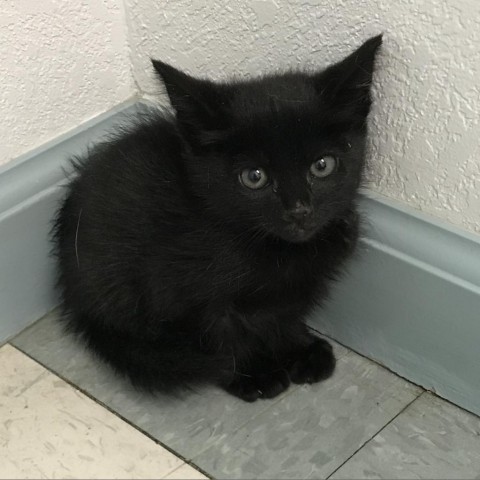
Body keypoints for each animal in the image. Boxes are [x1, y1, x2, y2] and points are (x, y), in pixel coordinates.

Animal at [53, 34, 382, 402]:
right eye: (254, 177)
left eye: (322, 165)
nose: (299, 210)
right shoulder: (171, 286)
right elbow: (218, 334)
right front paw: (252, 372)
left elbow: (281, 314)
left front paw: (298, 348)